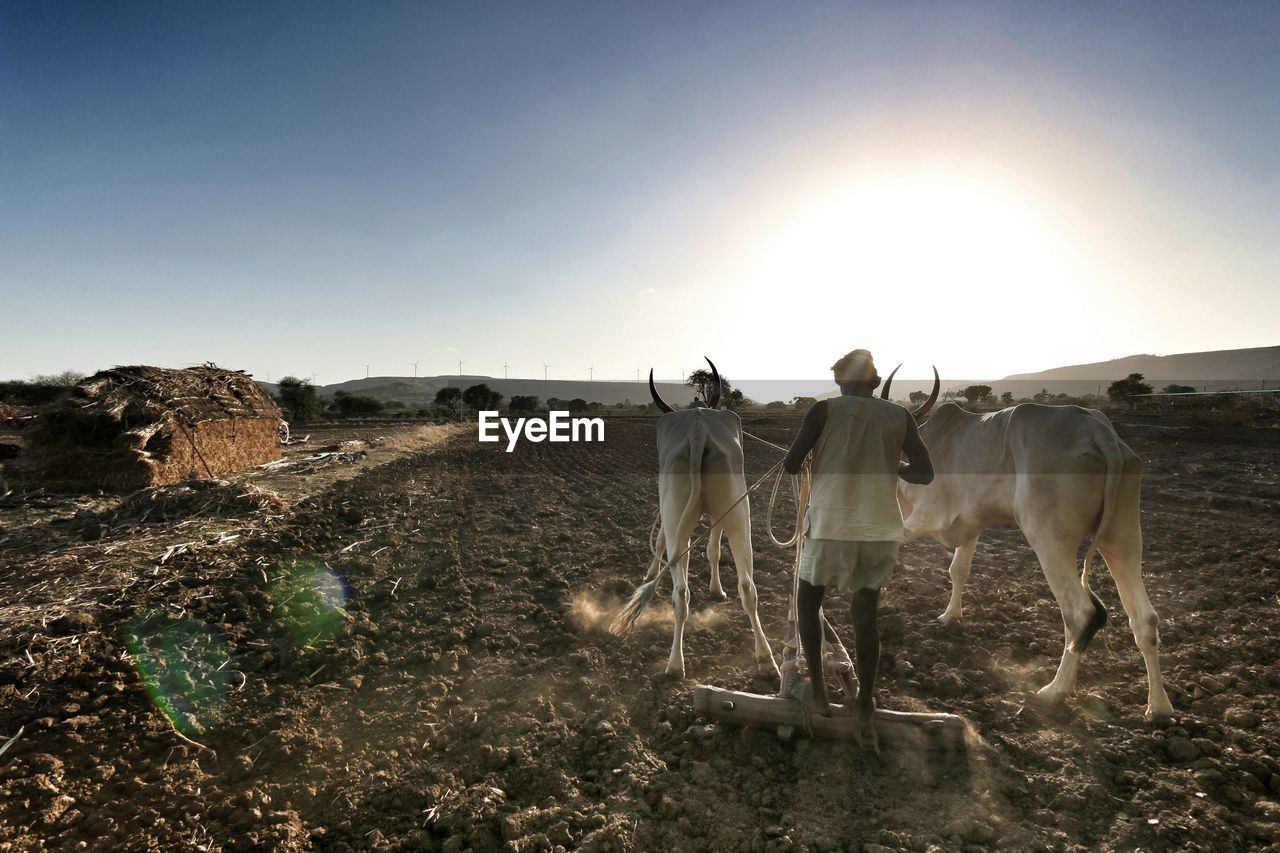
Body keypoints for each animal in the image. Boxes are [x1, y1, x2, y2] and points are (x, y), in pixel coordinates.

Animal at [611, 358, 778, 676]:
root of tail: (698, 431)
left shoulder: (668, 512)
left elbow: (661, 542)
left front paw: (650, 573)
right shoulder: (718, 515)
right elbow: (713, 550)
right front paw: (717, 590)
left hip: (679, 520)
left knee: (680, 592)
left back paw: (675, 663)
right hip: (739, 515)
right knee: (748, 587)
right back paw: (765, 657)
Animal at [901, 399, 1172, 717]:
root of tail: (1099, 432)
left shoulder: (924, 516)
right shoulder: (970, 525)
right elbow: (959, 570)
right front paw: (949, 616)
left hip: (1048, 538)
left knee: (1081, 613)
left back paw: (1055, 691)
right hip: (1122, 534)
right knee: (1144, 618)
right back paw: (1158, 706)